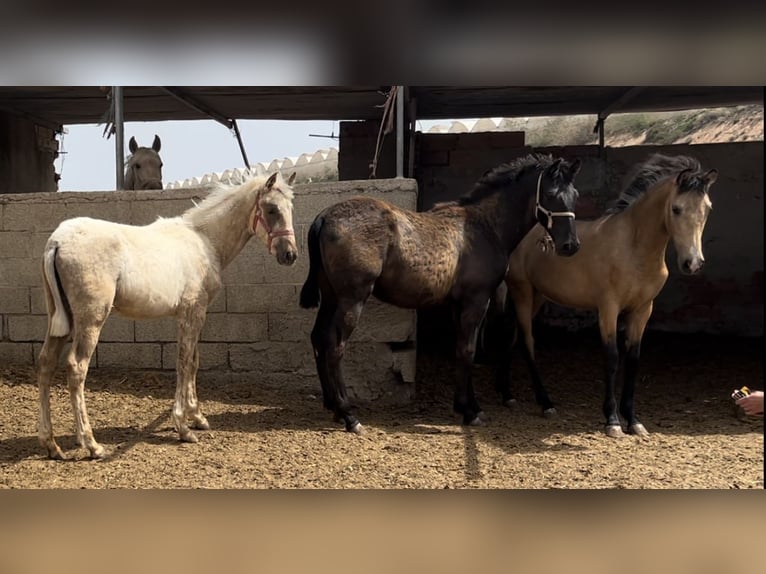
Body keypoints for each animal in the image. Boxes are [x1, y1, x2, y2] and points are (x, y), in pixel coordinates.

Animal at [37, 170, 298, 460]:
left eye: (290, 208)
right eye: (271, 209)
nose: (290, 254)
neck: (205, 242)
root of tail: (57, 241)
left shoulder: (194, 315)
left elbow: (193, 361)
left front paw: (198, 417)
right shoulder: (192, 313)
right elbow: (183, 362)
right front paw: (183, 427)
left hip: (60, 319)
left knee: (46, 363)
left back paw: (51, 445)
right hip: (90, 320)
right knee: (76, 368)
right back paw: (92, 444)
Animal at [300, 155, 584, 434]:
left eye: (575, 194)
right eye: (550, 193)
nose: (570, 245)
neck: (485, 226)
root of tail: (324, 216)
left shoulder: (459, 304)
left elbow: (462, 349)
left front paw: (469, 406)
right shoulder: (476, 300)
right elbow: (468, 350)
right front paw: (469, 412)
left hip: (331, 298)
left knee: (319, 338)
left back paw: (333, 407)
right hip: (353, 299)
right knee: (335, 347)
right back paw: (349, 415)